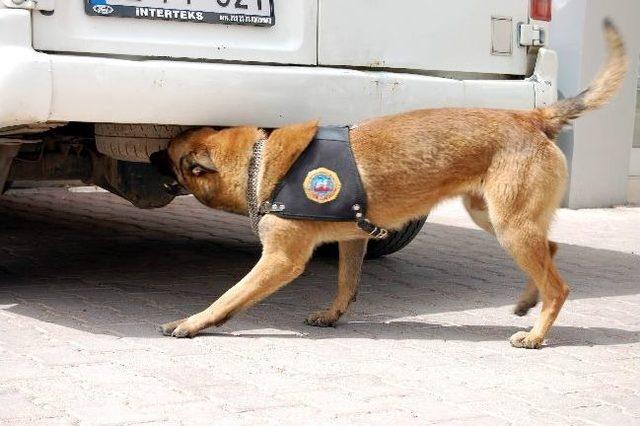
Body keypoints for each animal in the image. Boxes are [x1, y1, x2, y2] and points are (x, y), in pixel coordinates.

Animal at [156, 19, 632, 350]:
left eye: (174, 157)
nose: (151, 155)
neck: (260, 161)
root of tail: (531, 117)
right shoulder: (352, 241)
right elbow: (346, 284)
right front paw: (333, 315)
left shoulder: (280, 260)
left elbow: (228, 297)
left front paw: (192, 322)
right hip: (494, 218)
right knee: (551, 249)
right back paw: (526, 303)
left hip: (509, 225)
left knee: (559, 285)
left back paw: (535, 334)